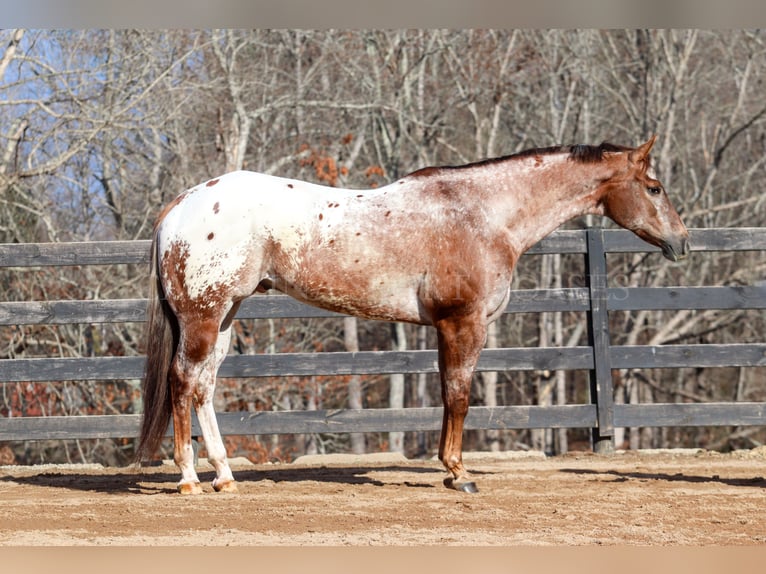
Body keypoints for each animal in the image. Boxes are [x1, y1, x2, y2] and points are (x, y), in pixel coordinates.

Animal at [135, 135, 692, 496]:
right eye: (655, 187)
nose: (682, 242)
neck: (482, 213)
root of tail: (182, 205)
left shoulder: (449, 328)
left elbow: (449, 396)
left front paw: (449, 468)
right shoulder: (462, 324)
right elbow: (458, 396)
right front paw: (458, 473)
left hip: (225, 317)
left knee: (204, 388)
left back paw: (225, 477)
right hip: (203, 318)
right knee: (183, 382)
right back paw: (189, 479)